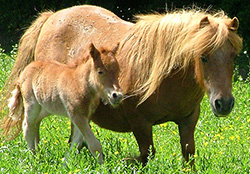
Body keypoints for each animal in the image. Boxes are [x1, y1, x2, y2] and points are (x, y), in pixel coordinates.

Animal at [0, 4, 242, 167]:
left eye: (233, 55)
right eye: (203, 56)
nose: (224, 103)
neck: (166, 76)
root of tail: (52, 16)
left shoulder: (188, 121)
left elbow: (188, 155)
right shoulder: (140, 124)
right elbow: (146, 155)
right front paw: (124, 161)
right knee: (33, 127)